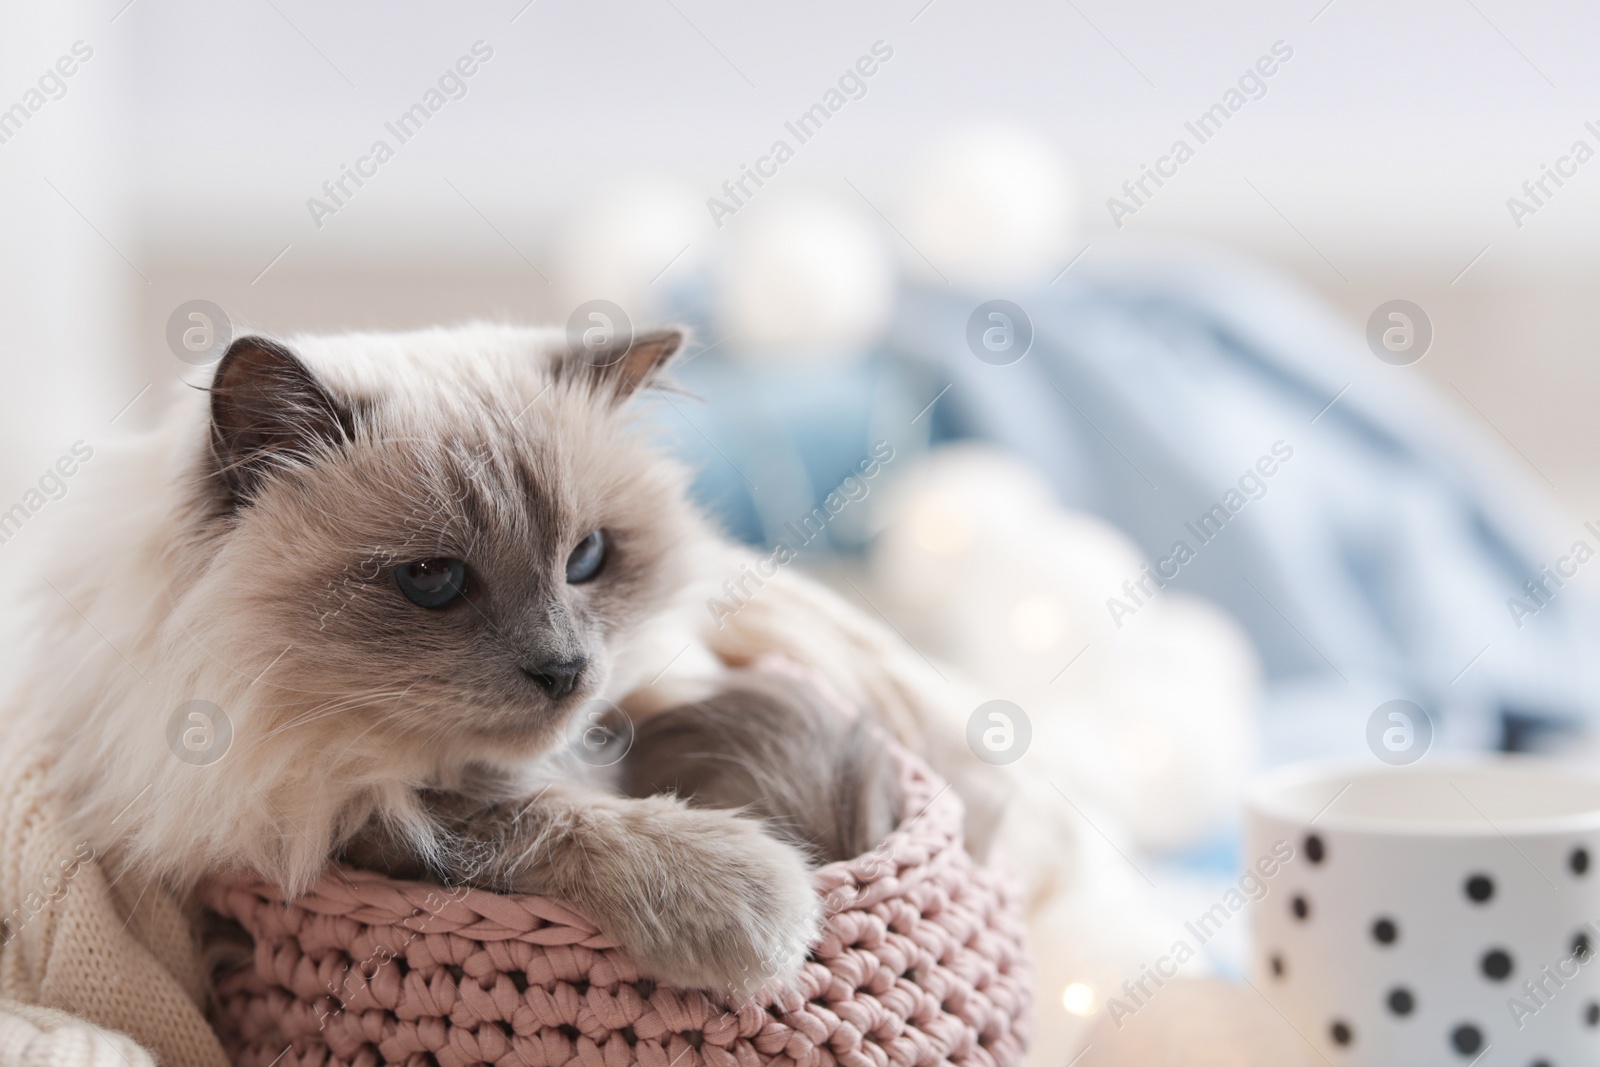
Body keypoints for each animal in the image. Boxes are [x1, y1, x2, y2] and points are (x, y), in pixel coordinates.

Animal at [6, 323, 953, 991]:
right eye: (431, 580)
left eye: (586, 558)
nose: (567, 670)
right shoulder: (312, 807)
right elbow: (522, 815)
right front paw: (758, 906)